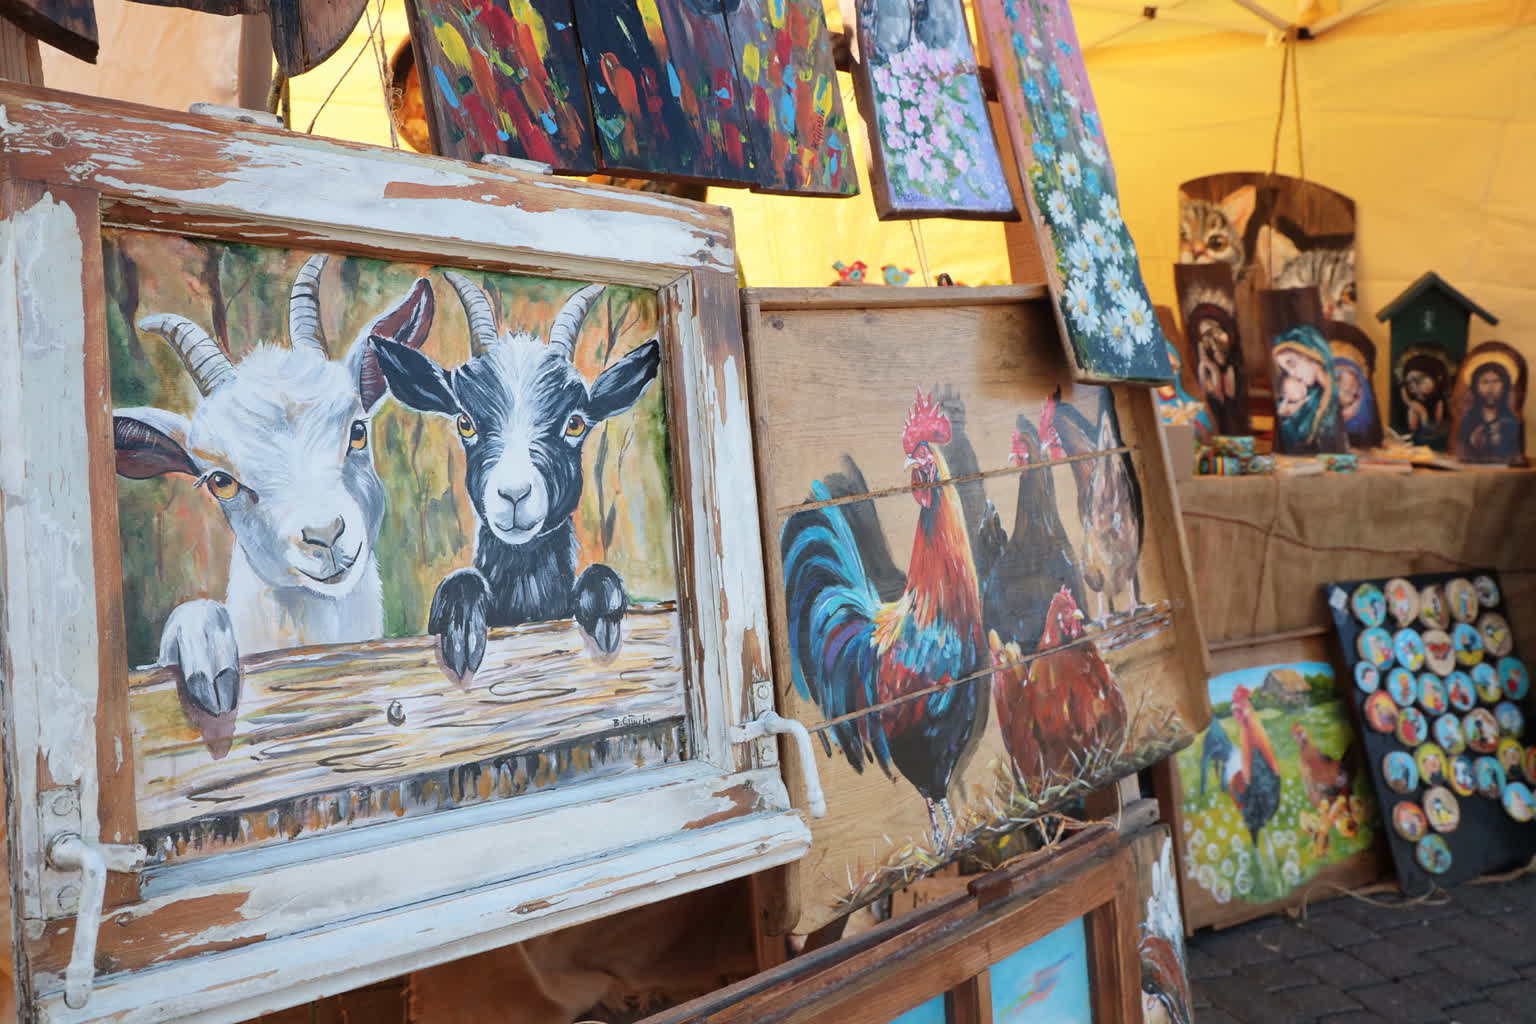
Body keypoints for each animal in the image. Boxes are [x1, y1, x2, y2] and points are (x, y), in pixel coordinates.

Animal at [372, 274, 661, 684]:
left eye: (575, 423)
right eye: (465, 422)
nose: (513, 495)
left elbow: (599, 575)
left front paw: (603, 604)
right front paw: (460, 623)